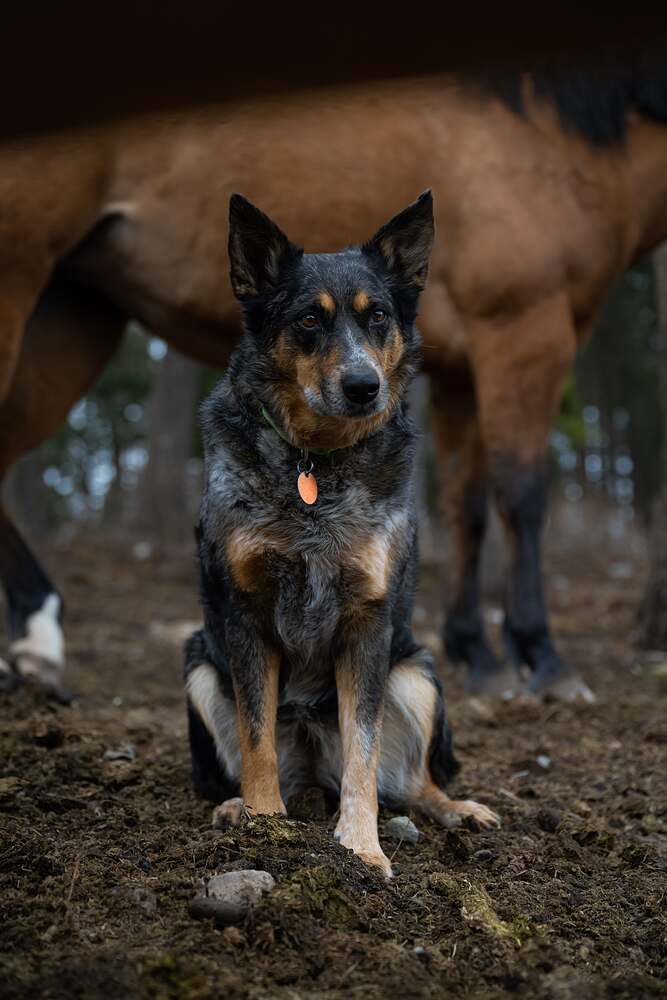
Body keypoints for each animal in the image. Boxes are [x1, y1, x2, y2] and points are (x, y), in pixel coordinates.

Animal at [2, 68, 667, 702]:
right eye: (307, 320)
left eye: (381, 316)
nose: (363, 389)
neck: (549, 129)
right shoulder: (524, 330)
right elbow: (522, 498)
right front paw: (544, 660)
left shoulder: (462, 369)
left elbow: (467, 506)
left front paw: (476, 653)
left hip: (73, 319)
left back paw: (35, 642)